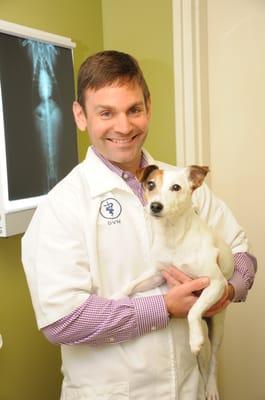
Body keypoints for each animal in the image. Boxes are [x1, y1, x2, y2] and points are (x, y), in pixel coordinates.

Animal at [112, 164, 232, 398]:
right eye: (151, 185)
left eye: (176, 187)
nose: (155, 206)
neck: (173, 235)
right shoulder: (158, 274)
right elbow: (131, 284)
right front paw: (117, 297)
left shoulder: (215, 283)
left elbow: (193, 311)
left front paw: (194, 339)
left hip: (219, 328)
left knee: (213, 361)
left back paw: (211, 387)